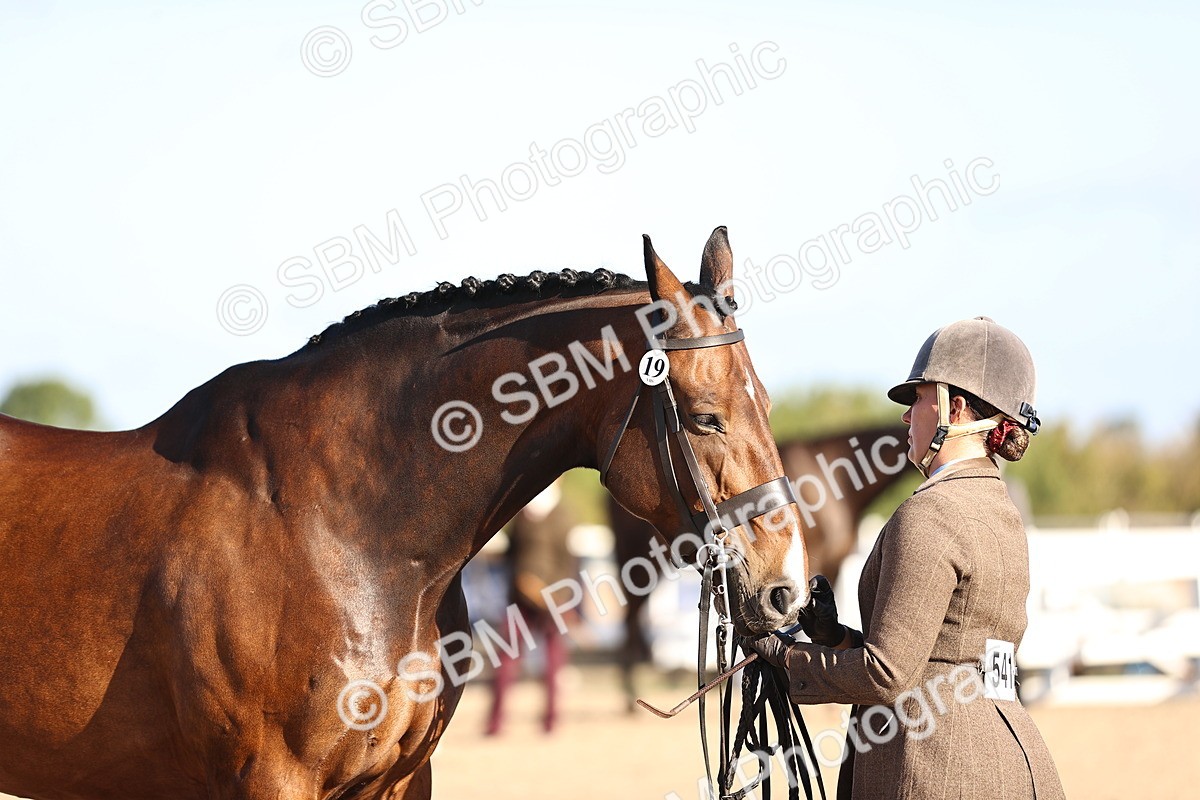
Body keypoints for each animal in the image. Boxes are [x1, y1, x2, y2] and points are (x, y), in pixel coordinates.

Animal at [0, 227, 810, 800]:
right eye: (704, 418)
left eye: (769, 404)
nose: (787, 589)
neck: (346, 531)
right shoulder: (271, 781)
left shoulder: (399, 778)